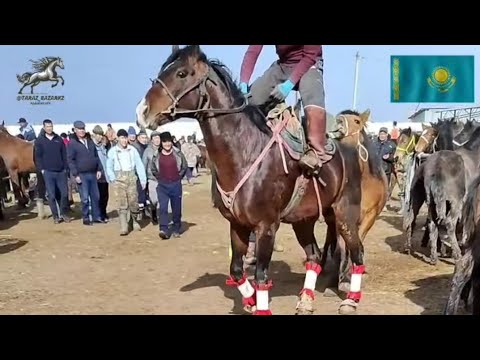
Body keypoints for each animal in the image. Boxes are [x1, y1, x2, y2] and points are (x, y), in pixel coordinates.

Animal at [133, 45, 366, 316]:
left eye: (181, 73)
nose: (142, 111)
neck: (245, 151)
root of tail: (349, 152)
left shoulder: (266, 227)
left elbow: (262, 277)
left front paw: (259, 303)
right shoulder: (237, 225)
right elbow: (236, 271)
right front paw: (250, 301)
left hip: (344, 215)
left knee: (357, 252)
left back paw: (350, 300)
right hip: (303, 220)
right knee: (315, 256)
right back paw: (306, 300)